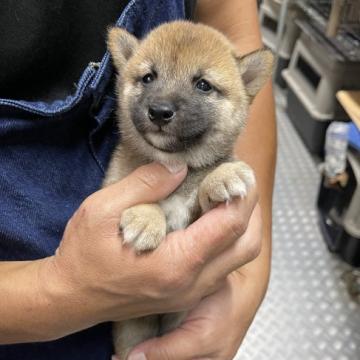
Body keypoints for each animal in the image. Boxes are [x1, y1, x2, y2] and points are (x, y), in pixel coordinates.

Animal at [104, 20, 272, 360]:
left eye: (203, 85)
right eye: (149, 77)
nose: (159, 110)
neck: (178, 165)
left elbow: (205, 195)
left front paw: (222, 176)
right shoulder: (114, 184)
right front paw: (146, 218)